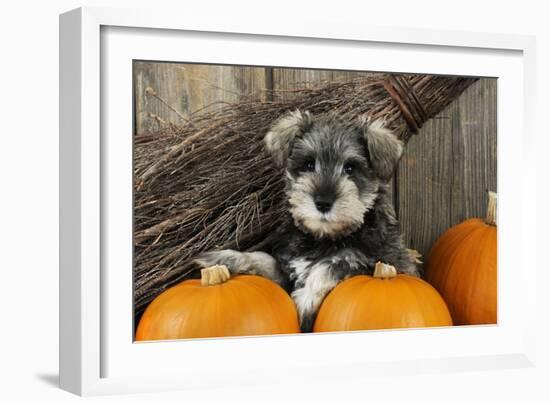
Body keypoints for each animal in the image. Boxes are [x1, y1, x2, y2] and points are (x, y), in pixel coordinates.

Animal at [196, 109, 420, 332]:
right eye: (309, 164)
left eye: (350, 168)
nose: (323, 202)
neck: (324, 238)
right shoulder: (286, 267)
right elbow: (264, 259)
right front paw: (225, 259)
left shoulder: (376, 261)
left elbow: (330, 266)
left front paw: (304, 300)